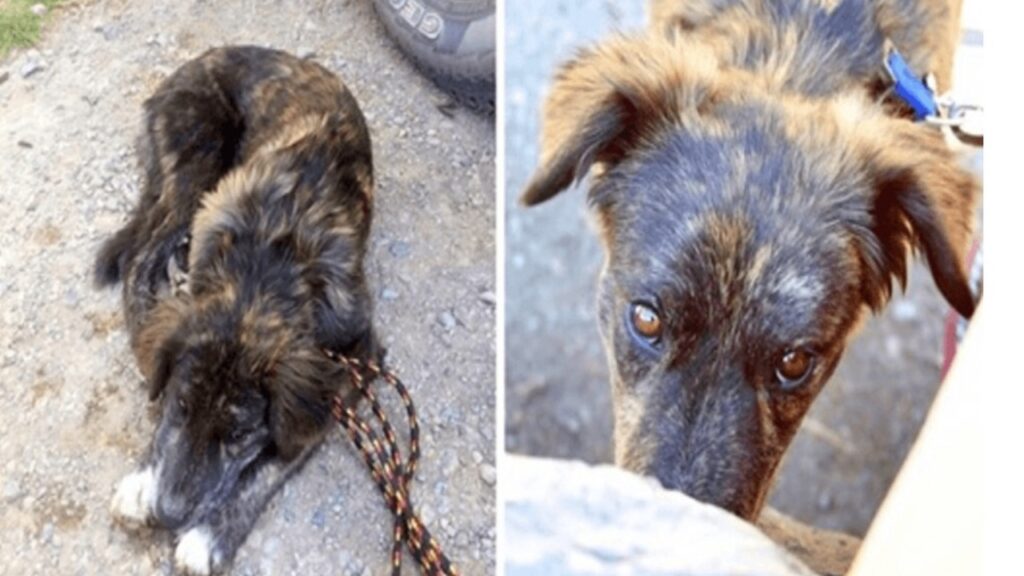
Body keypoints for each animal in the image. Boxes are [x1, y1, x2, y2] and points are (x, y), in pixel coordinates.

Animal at [95, 43, 380, 569]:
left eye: (238, 436)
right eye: (180, 406)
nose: (169, 513)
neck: (270, 261)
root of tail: (201, 59)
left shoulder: (359, 352)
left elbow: (275, 462)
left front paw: (212, 535)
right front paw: (145, 478)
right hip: (198, 161)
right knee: (140, 256)